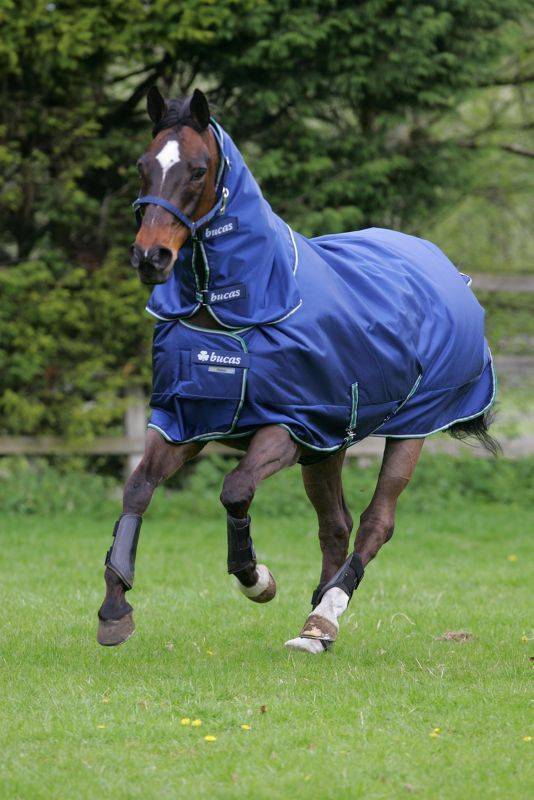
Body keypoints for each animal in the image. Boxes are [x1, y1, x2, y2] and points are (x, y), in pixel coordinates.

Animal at [97, 88, 497, 653]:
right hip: (329, 446)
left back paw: (325, 616)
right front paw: (115, 610)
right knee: (336, 526)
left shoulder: (291, 427)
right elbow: (137, 489)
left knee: (375, 523)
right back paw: (317, 621)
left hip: (411, 428)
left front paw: (257, 579)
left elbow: (235, 489)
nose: (150, 256)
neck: (244, 312)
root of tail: (447, 268)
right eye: (142, 165)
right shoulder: (186, 421)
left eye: (197, 170)